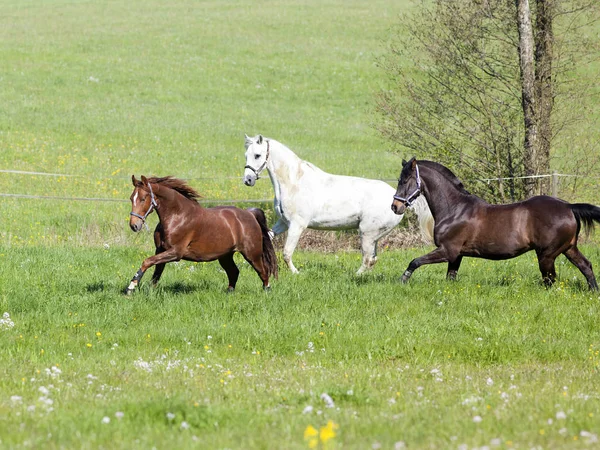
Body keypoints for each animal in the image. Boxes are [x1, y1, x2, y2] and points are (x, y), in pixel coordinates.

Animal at [127, 176, 278, 296]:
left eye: (143, 198)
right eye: (131, 198)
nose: (134, 225)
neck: (177, 216)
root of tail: (250, 213)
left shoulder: (176, 252)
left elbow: (147, 261)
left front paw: (131, 287)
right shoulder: (161, 250)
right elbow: (156, 273)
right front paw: (149, 291)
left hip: (252, 254)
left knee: (263, 272)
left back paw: (267, 292)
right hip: (225, 255)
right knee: (234, 272)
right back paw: (228, 293)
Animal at [241, 134, 434, 274]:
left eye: (257, 155)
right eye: (246, 155)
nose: (248, 180)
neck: (294, 182)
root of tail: (398, 199)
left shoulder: (297, 225)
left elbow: (287, 253)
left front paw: (296, 273)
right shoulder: (283, 223)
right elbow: (269, 235)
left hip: (366, 232)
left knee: (367, 259)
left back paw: (356, 276)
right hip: (375, 235)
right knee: (372, 259)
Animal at [390, 158, 600, 290]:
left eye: (405, 180)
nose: (395, 206)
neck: (455, 209)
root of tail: (568, 207)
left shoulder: (448, 250)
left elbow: (415, 261)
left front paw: (403, 280)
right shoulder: (456, 255)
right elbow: (450, 277)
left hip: (547, 255)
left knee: (550, 280)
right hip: (568, 248)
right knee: (586, 266)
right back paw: (593, 292)